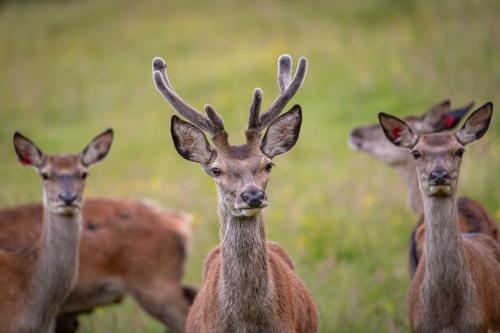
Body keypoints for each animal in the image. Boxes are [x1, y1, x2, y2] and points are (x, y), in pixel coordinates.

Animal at [378, 102, 500, 330]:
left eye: (459, 150)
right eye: (416, 153)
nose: (439, 175)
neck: (448, 318)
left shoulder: (481, 325)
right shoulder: (417, 326)